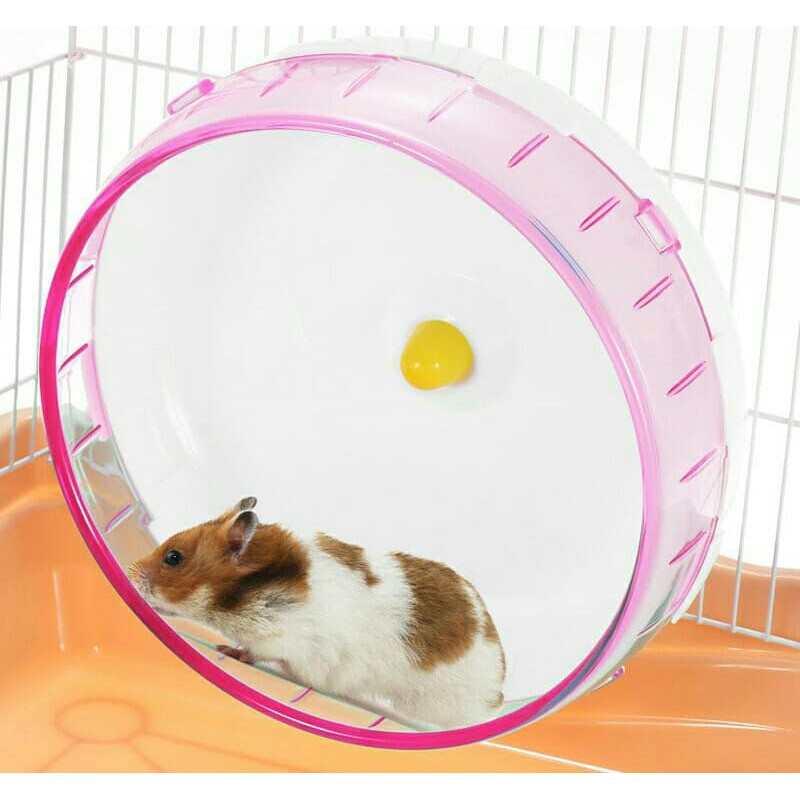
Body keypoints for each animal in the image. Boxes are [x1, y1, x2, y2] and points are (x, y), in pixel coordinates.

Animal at [128, 497, 506, 730]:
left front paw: (227, 651)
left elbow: (254, 651)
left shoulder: (280, 638)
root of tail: (499, 686)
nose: (130, 574)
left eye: (173, 557)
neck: (243, 592)